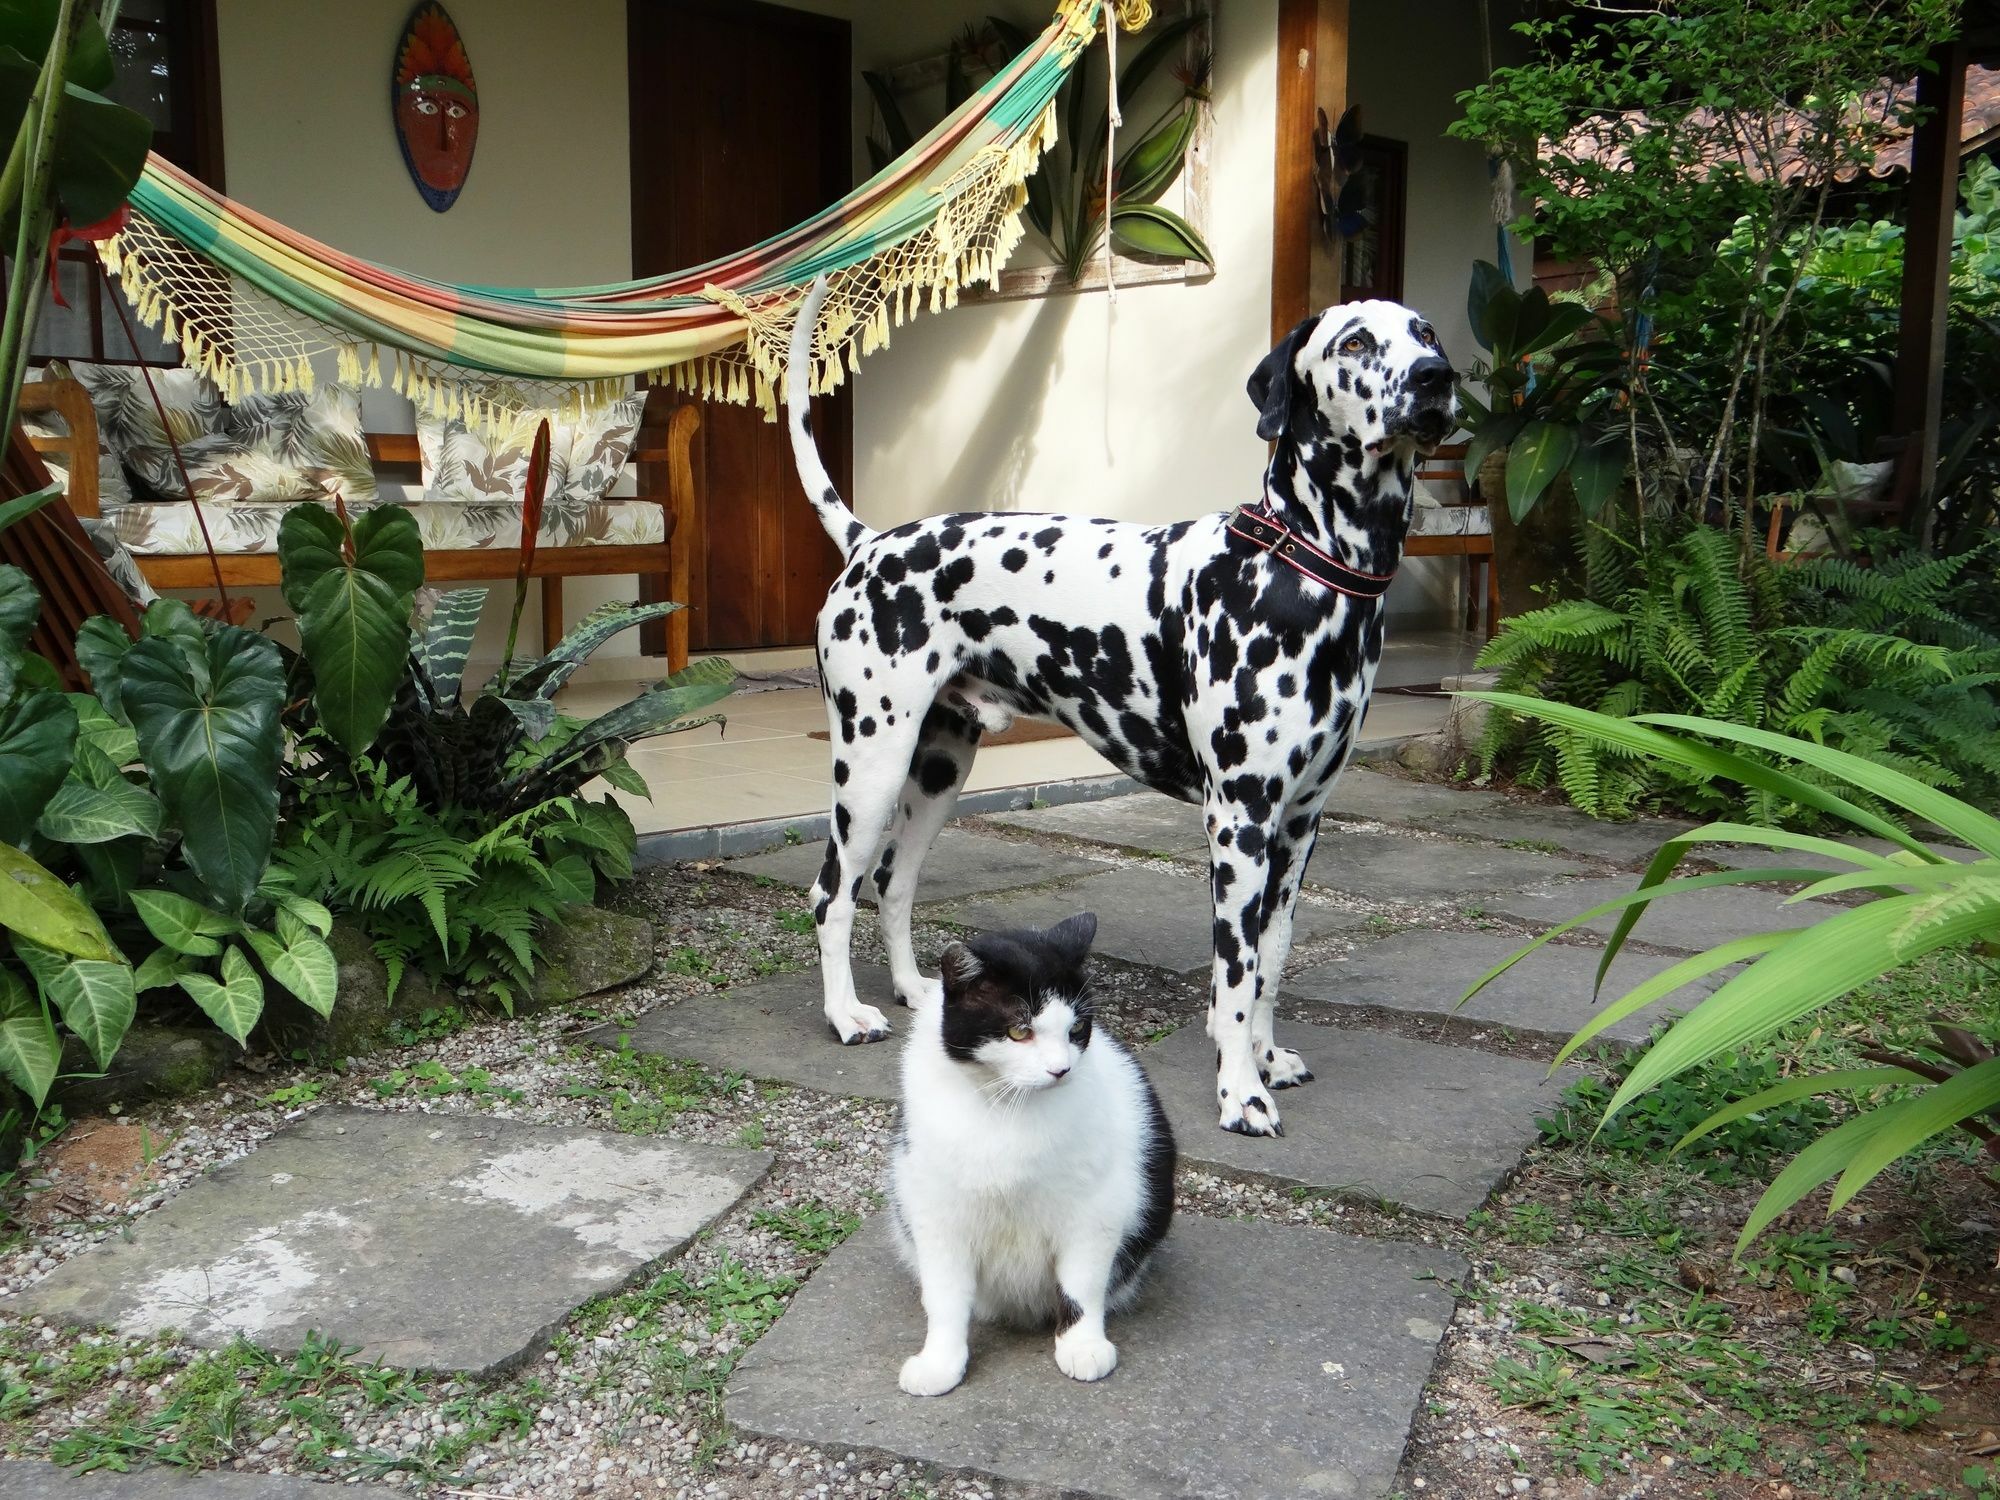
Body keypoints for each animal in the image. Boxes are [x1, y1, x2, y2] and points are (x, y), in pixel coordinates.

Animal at [780, 274, 1456, 1136]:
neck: (1301, 571)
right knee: (832, 893)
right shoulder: (1239, 825)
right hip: (870, 770)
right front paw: (1240, 1092)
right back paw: (845, 1014)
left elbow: (1270, 962)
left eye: (1426, 333)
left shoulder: (1299, 826)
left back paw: (913, 992)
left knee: (892, 882)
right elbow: (1234, 980)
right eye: (1357, 342)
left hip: (935, 773)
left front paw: (1266, 1060)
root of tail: (869, 542)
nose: (1438, 378)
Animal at [888, 916, 1168, 1400]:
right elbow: (944, 1295)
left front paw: (1082, 1346)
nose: (1061, 1070)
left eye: (1077, 1030)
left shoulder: (1097, 1208)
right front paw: (940, 1362)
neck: (1006, 1108)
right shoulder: (937, 1211)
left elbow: (1081, 1284)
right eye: (1020, 1031)